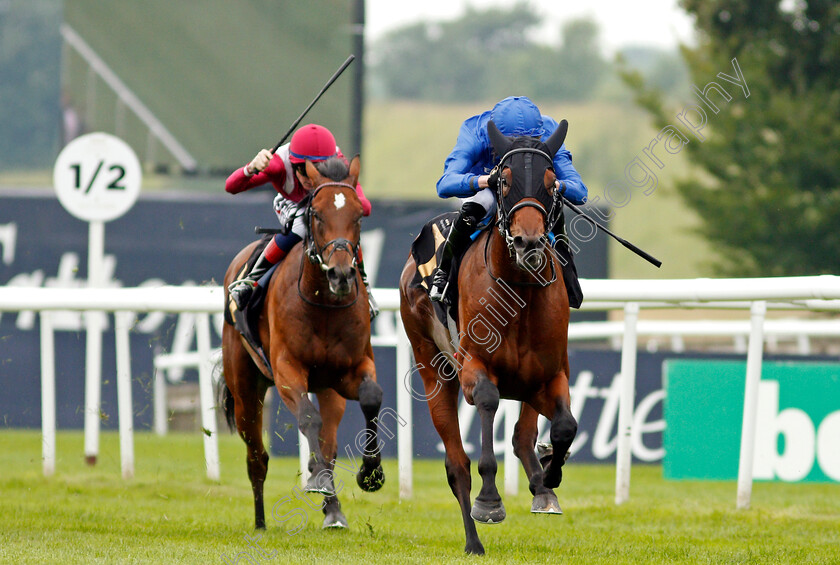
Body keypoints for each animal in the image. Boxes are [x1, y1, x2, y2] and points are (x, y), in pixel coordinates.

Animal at [398, 120, 576, 556]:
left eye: (552, 182)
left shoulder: (548, 376)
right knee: (456, 465)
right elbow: (488, 404)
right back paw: (473, 541)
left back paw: (542, 485)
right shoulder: (473, 369)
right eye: (505, 180)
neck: (518, 291)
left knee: (523, 435)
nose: (529, 241)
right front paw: (490, 501)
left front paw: (550, 475)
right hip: (432, 367)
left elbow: (564, 426)